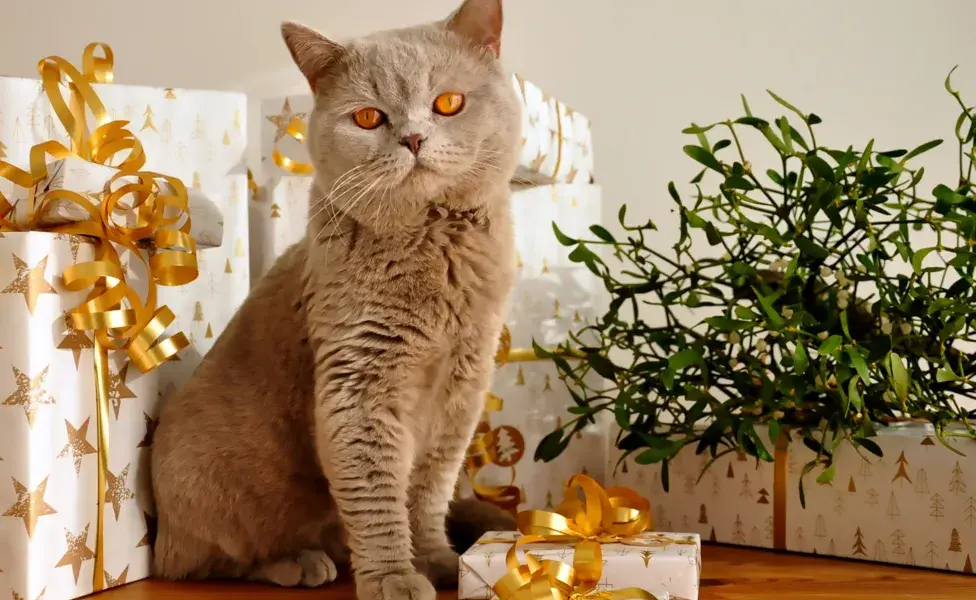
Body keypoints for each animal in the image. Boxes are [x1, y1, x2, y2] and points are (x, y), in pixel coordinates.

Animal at [149, 1, 524, 600]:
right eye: (369, 118)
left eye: (448, 103)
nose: (413, 138)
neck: (433, 243)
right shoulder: (359, 383)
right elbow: (377, 495)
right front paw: (394, 577)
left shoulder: (462, 391)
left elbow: (427, 493)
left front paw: (437, 562)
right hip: (203, 486)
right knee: (203, 563)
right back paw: (301, 563)